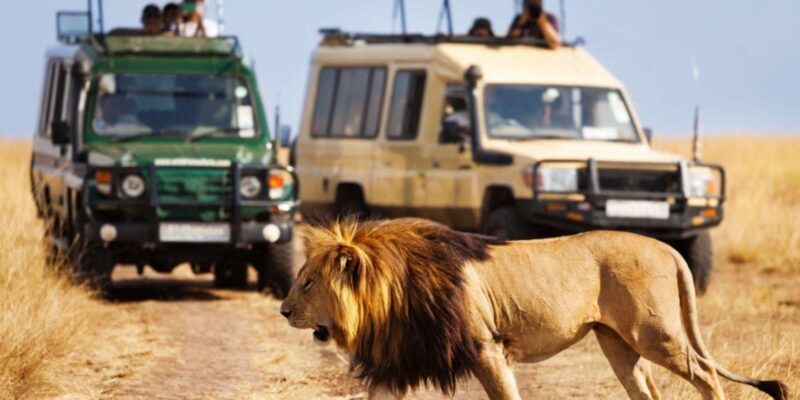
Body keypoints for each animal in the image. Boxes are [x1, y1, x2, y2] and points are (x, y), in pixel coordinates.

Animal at [280, 218, 788, 400]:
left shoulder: (488, 348)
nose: (283, 311)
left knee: (705, 372)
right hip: (617, 342)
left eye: (307, 282)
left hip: (654, 332)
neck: (392, 296)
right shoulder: (396, 365)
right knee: (646, 389)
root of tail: (668, 248)